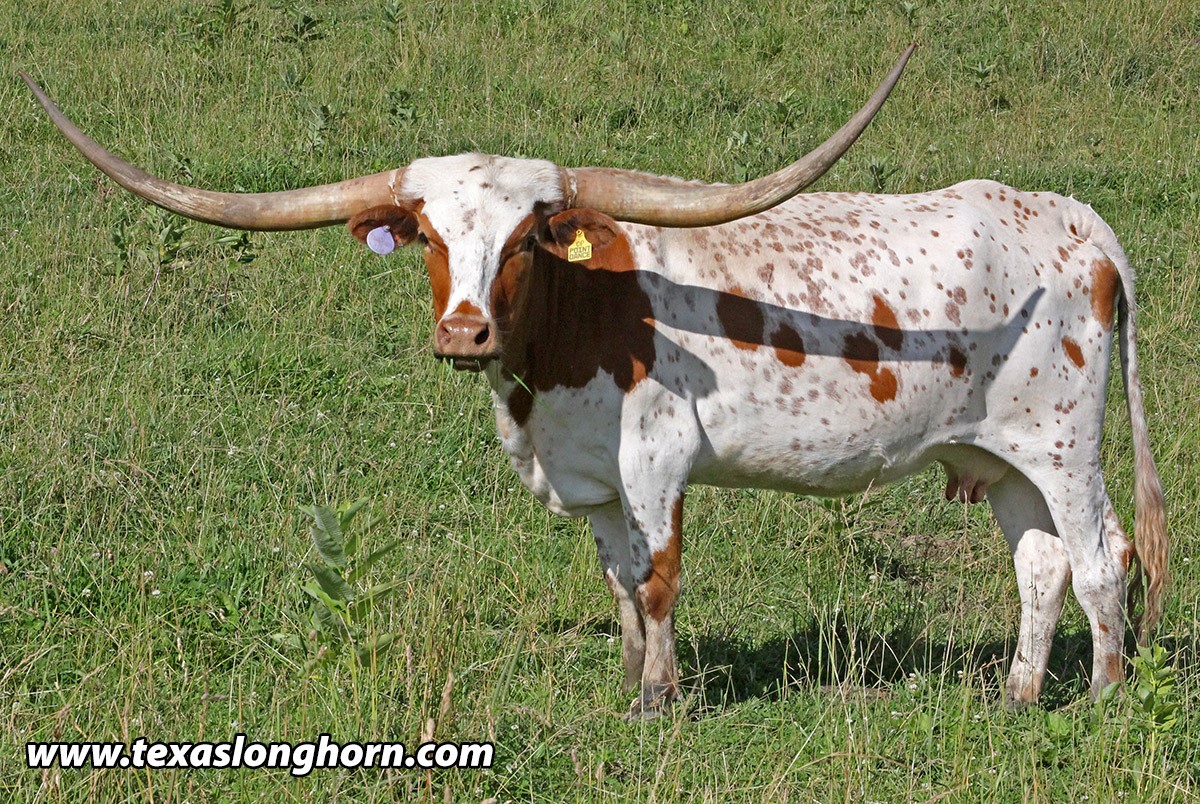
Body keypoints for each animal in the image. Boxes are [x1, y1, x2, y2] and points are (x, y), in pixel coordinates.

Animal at [22, 47, 1167, 719]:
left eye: (529, 238)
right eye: (428, 235)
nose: (464, 330)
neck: (558, 357)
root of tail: (1080, 222)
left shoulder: (657, 459)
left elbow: (657, 577)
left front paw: (659, 702)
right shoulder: (592, 478)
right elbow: (618, 581)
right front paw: (628, 677)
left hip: (1066, 443)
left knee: (1101, 557)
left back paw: (1105, 697)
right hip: (999, 456)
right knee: (1038, 565)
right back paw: (1017, 696)